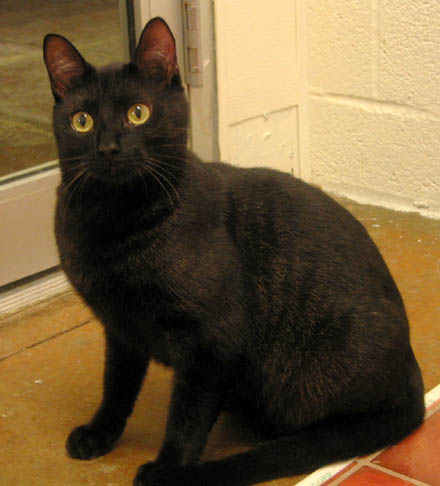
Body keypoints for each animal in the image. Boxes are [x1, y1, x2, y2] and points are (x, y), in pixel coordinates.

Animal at [43, 17, 425, 486]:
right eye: (81, 121)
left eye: (138, 113)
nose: (109, 147)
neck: (113, 223)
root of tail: (412, 368)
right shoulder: (121, 329)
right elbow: (116, 388)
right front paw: (99, 434)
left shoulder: (211, 343)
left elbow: (186, 418)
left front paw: (168, 469)